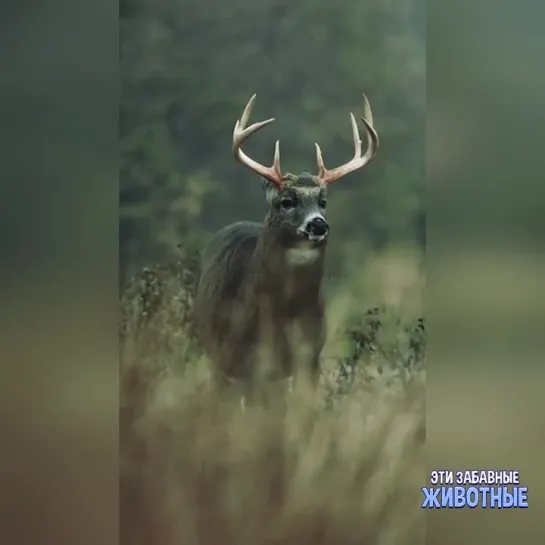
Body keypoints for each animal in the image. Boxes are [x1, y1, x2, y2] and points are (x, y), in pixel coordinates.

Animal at [192, 92, 378, 400]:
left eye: (323, 202)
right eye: (287, 201)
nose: (318, 224)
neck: (282, 312)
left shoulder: (310, 356)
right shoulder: (247, 360)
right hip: (216, 355)